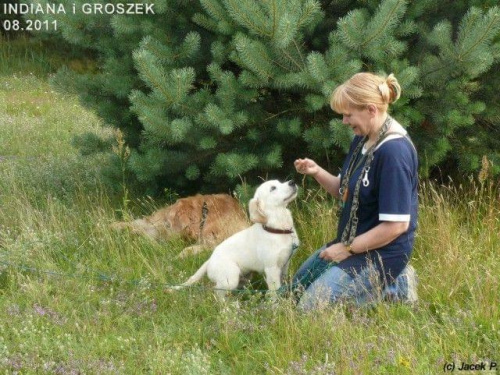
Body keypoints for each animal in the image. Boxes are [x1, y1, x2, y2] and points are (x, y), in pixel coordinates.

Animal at [111, 194, 248, 258]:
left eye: (169, 223)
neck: (206, 213)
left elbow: (189, 249)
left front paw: (178, 257)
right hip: (154, 223)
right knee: (138, 225)